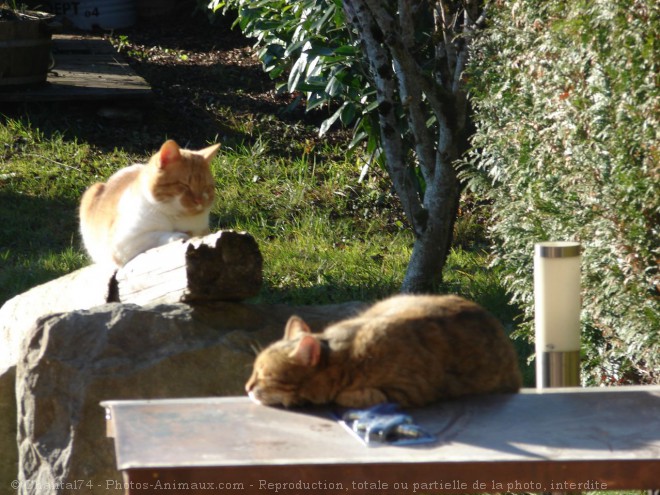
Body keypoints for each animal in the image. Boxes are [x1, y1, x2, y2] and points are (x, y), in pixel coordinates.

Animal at [79, 140, 219, 268]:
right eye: (185, 185)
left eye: (207, 187)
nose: (199, 200)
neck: (174, 216)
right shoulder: (123, 244)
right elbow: (158, 235)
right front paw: (178, 235)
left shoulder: (203, 231)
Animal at [245, 296, 524, 408]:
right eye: (253, 371)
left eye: (265, 376)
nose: (247, 387)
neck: (350, 357)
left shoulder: (407, 392)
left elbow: (353, 396)